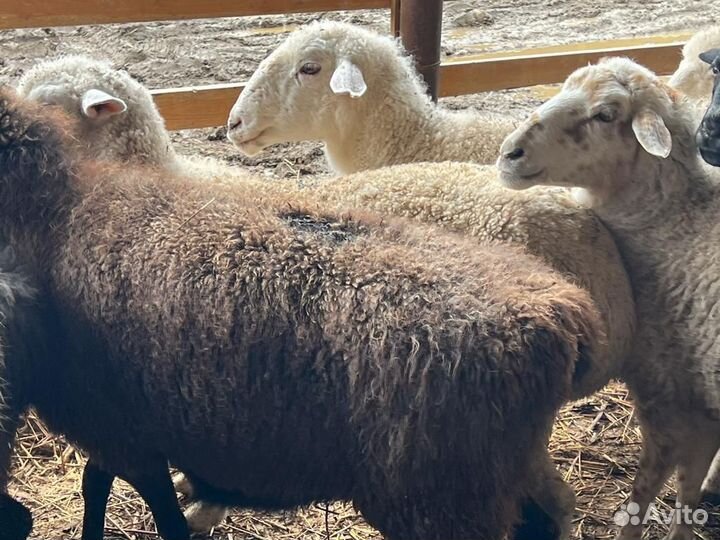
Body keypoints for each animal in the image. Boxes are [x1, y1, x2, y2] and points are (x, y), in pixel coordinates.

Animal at [497, 55, 720, 540]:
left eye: (605, 115)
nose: (509, 153)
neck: (678, 225)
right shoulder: (700, 403)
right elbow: (689, 485)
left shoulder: (668, 391)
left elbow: (655, 481)